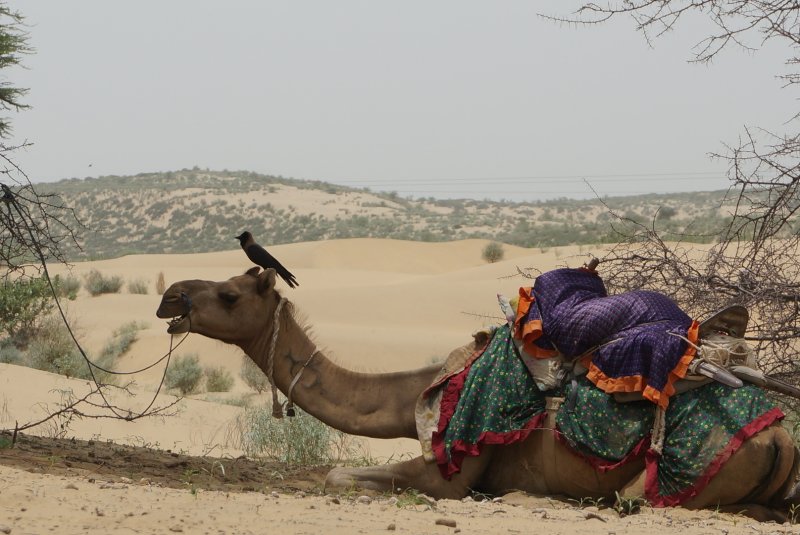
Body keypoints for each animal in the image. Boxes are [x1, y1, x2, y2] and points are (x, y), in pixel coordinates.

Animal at [155, 268, 800, 520]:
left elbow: (339, 475)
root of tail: (779, 439)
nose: (172, 297)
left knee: (636, 500)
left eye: (231, 294)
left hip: (668, 481)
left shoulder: (452, 469)